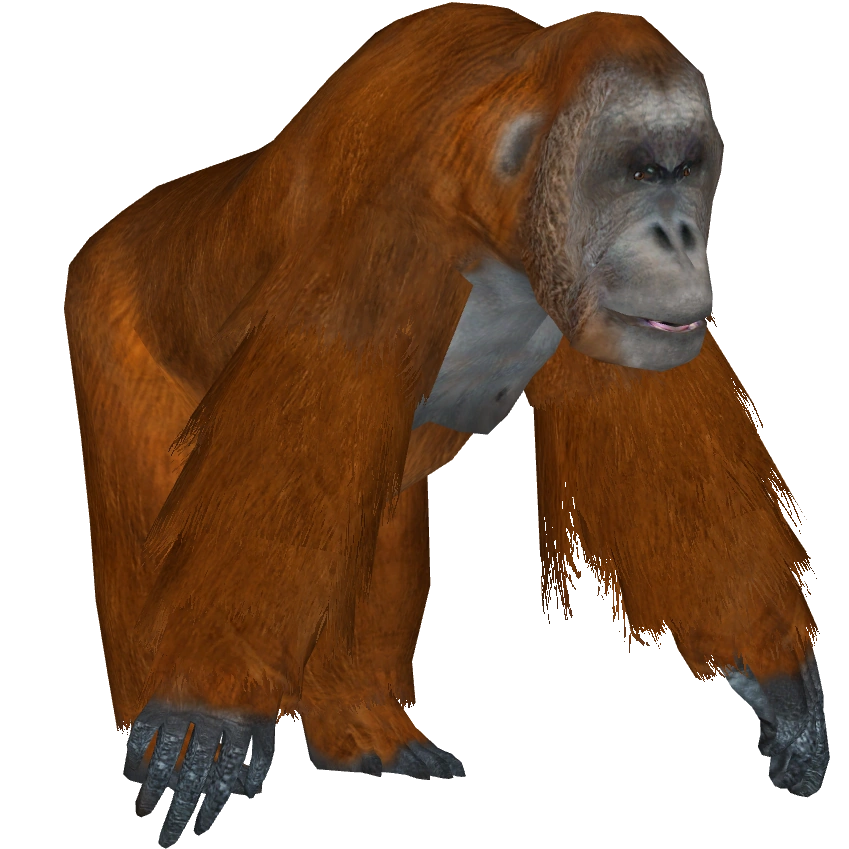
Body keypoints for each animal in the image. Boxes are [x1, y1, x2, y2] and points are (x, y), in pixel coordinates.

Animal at [63, 5, 828, 846]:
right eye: (639, 173)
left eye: (685, 166)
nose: (681, 233)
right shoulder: (382, 245)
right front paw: (208, 711)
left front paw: (776, 678)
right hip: (106, 309)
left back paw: (364, 730)